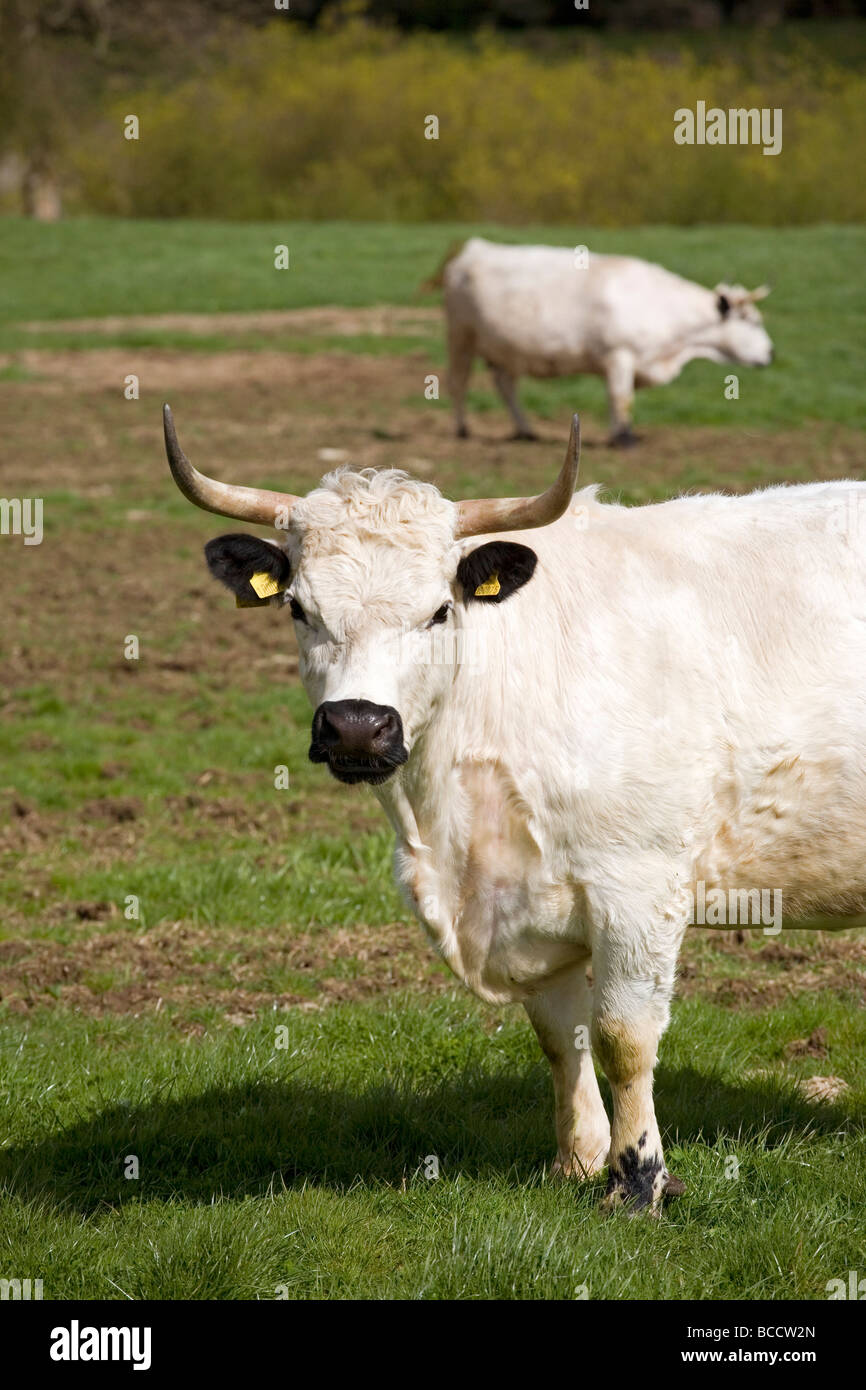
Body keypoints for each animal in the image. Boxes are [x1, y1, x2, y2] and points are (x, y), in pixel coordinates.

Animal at [165, 404, 865, 1213]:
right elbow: (562, 1038)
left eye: (440, 611)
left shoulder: (639, 886)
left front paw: (639, 1182)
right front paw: (580, 1161)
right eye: (299, 608)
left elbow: (624, 1037)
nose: (358, 727)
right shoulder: (530, 906)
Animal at [441, 238, 773, 445]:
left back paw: (525, 430)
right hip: (461, 337)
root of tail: (473, 249)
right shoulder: (619, 355)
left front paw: (619, 434)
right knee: (459, 381)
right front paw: (625, 438)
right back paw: (462, 429)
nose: (771, 353)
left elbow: (617, 400)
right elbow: (621, 397)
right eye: (751, 321)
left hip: (502, 349)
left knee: (505, 386)